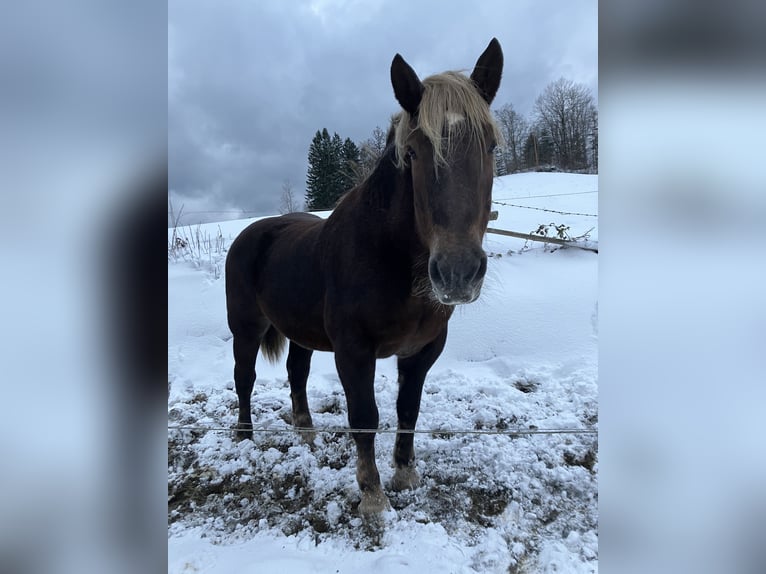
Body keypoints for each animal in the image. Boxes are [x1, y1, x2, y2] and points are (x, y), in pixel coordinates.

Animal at [225, 40, 508, 516]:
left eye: (489, 146)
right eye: (412, 153)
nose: (457, 272)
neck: (391, 261)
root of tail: (251, 233)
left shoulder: (423, 350)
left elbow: (408, 408)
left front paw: (405, 475)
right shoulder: (353, 351)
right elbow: (365, 417)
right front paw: (372, 495)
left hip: (300, 329)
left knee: (297, 372)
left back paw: (306, 431)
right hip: (246, 327)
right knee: (243, 378)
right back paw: (244, 437)